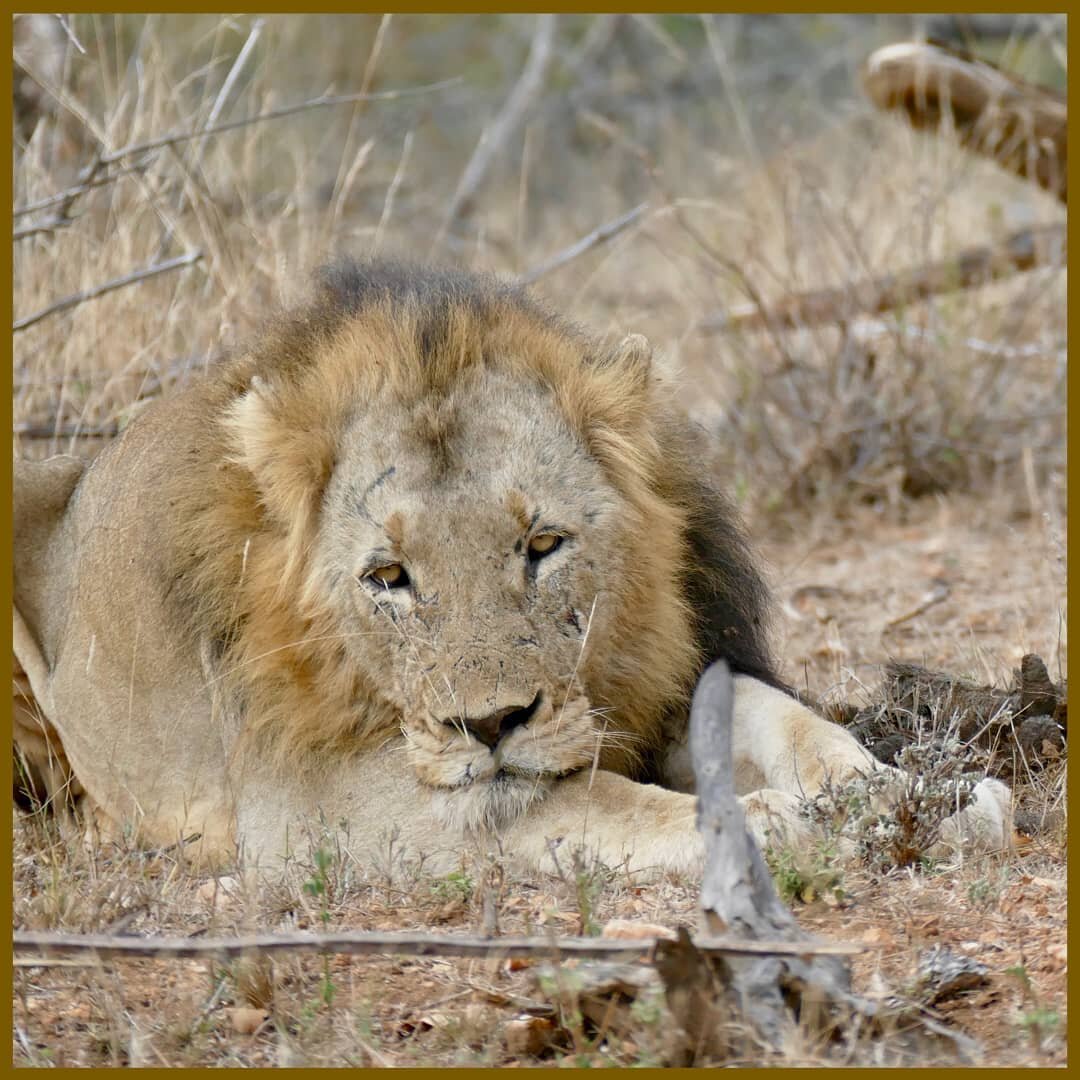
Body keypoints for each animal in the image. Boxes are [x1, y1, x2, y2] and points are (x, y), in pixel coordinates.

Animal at [10, 259, 1010, 876]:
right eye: (388, 577)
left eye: (541, 546)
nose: (490, 724)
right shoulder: (307, 799)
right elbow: (594, 806)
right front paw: (786, 824)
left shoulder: (646, 687)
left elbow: (783, 718)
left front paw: (918, 794)